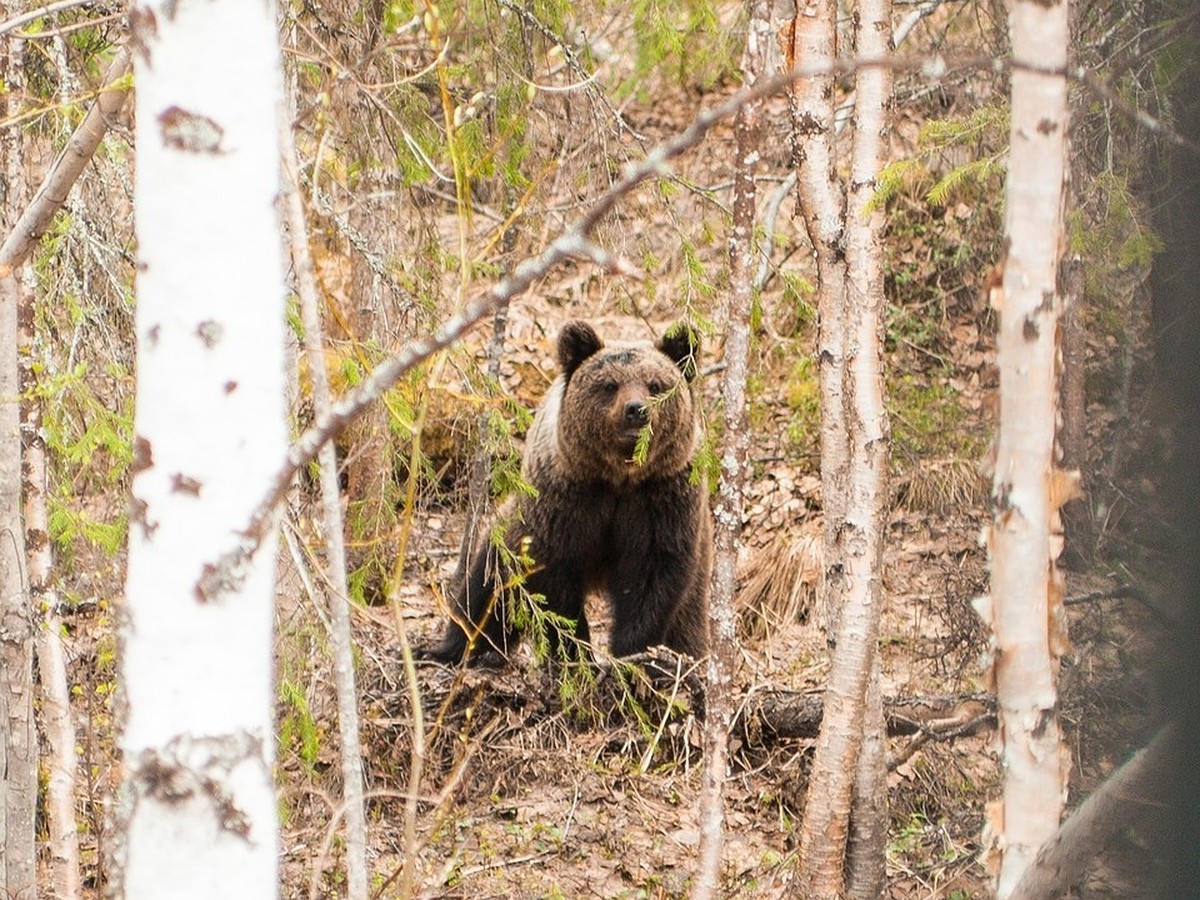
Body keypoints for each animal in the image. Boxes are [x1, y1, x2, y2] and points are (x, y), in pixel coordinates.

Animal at [422, 321, 705, 667]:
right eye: (610, 384)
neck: (618, 476)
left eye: (655, 384)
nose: (636, 410)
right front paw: (575, 653)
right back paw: (454, 648)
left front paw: (633, 653)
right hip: (509, 532)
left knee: (689, 618)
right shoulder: (565, 497)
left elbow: (653, 577)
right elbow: (553, 577)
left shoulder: (661, 497)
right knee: (487, 590)